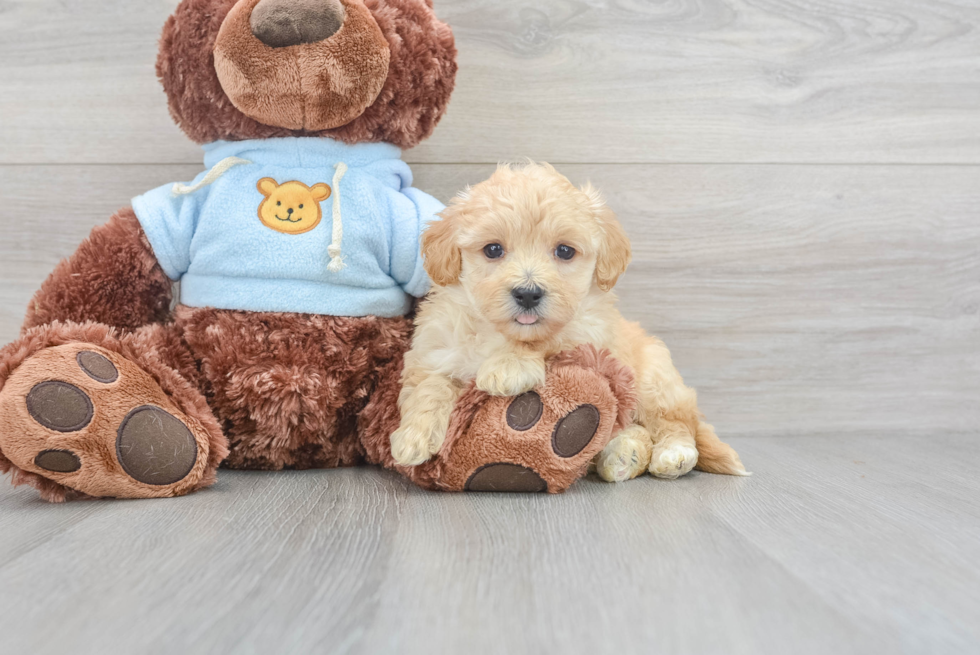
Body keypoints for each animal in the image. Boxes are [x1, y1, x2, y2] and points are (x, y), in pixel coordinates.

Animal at [386, 163, 748, 482]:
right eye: (493, 249)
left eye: (564, 251)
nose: (528, 293)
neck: (496, 332)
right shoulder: (434, 347)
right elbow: (429, 386)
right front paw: (412, 438)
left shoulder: (589, 330)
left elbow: (549, 337)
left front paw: (510, 366)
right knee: (634, 430)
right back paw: (622, 457)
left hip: (653, 380)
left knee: (674, 423)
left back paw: (672, 454)